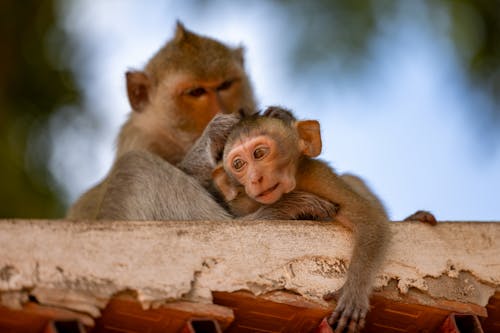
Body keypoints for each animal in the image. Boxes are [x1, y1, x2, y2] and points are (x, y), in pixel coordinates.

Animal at [67, 22, 336, 220]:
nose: (223, 109)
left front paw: (281, 115)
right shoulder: (139, 139)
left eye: (225, 85)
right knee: (134, 167)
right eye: (196, 92)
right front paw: (213, 135)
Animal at [211, 107, 390, 332]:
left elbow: (369, 219)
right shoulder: (243, 202)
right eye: (238, 164)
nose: (254, 179)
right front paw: (295, 205)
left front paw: (353, 293)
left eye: (259, 153)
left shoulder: (317, 176)